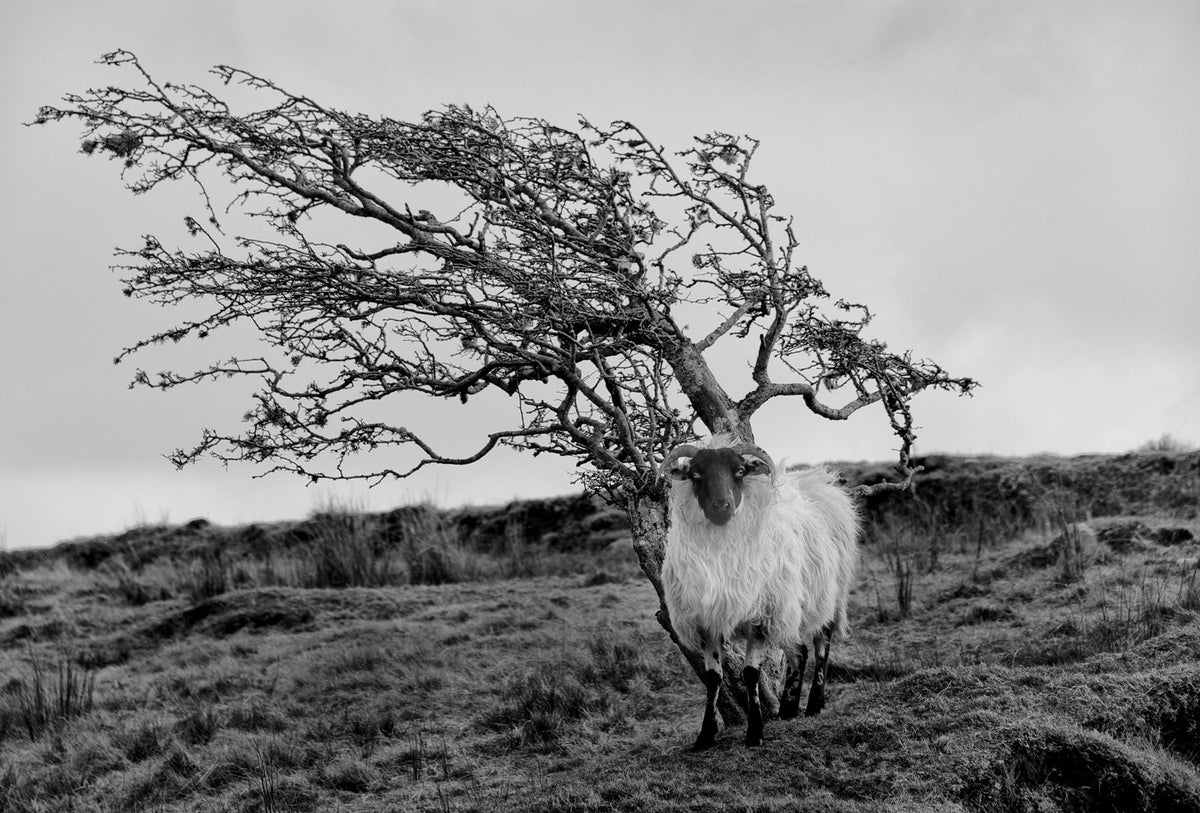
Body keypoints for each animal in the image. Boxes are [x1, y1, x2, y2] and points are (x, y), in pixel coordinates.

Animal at [660, 434, 860, 749]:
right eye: (696, 474)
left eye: (740, 471)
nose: (722, 506)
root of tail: (817, 482)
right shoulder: (707, 620)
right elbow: (714, 677)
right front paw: (705, 735)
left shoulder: (760, 618)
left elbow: (751, 674)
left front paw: (755, 732)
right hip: (790, 604)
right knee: (800, 652)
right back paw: (788, 708)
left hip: (827, 594)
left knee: (822, 645)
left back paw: (815, 704)